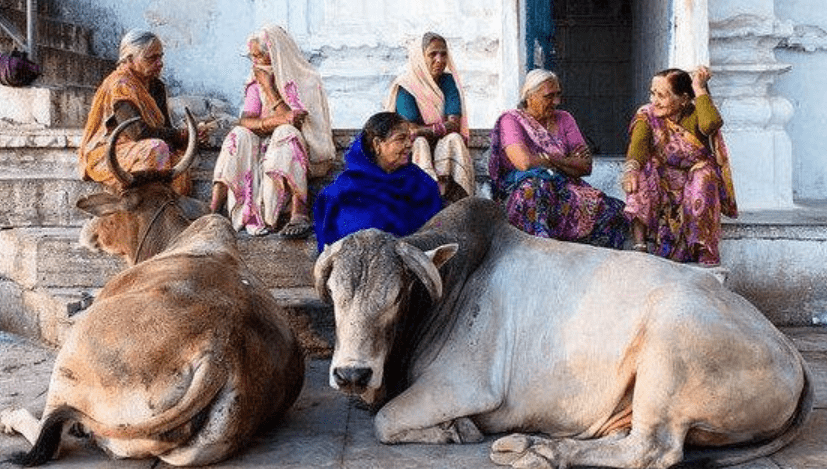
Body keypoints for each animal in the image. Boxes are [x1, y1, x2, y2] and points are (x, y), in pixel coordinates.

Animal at [0, 112, 308, 464]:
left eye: (113, 192)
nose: (87, 230)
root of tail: (218, 354)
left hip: (73, 357)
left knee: (50, 436)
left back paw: (12, 417)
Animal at [316, 197, 816, 468]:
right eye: (334, 294)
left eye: (396, 296)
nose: (352, 374)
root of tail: (792, 352)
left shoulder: (462, 386)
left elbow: (385, 422)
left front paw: (456, 430)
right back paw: (533, 443)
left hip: (671, 348)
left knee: (652, 449)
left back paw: (537, 453)